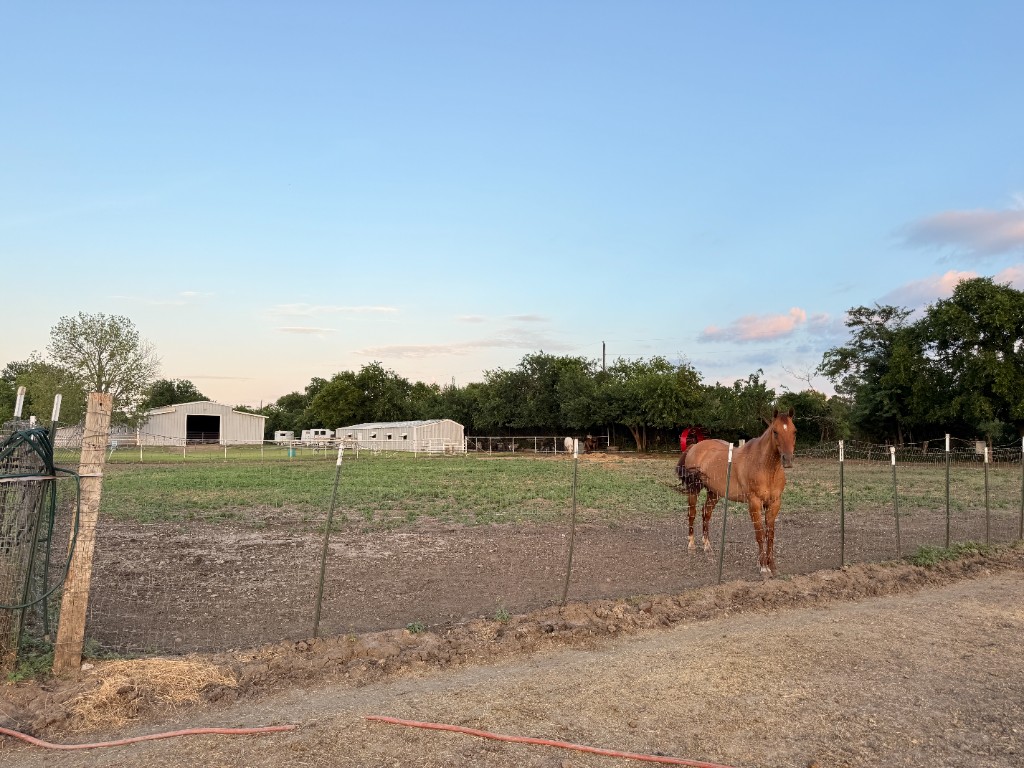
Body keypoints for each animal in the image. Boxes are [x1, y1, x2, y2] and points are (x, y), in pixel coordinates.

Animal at [683, 408, 796, 576]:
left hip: (714, 493)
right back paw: (691, 545)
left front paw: (772, 566)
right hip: (694, 489)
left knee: (706, 513)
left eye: (794, 431)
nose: (787, 460)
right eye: (775, 432)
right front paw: (763, 567)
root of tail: (695, 447)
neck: (765, 466)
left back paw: (707, 547)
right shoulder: (754, 503)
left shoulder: (774, 503)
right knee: (692, 513)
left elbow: (770, 535)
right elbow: (760, 533)